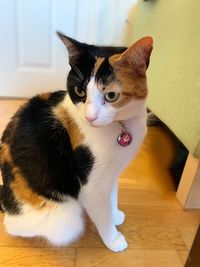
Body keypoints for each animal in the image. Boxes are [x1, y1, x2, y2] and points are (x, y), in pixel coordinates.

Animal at [0, 32, 153, 252]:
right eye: (80, 92)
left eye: (111, 95)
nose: (89, 117)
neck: (120, 125)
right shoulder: (92, 186)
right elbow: (102, 213)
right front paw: (113, 239)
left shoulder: (111, 173)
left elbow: (112, 195)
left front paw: (115, 214)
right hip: (63, 218)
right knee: (16, 226)